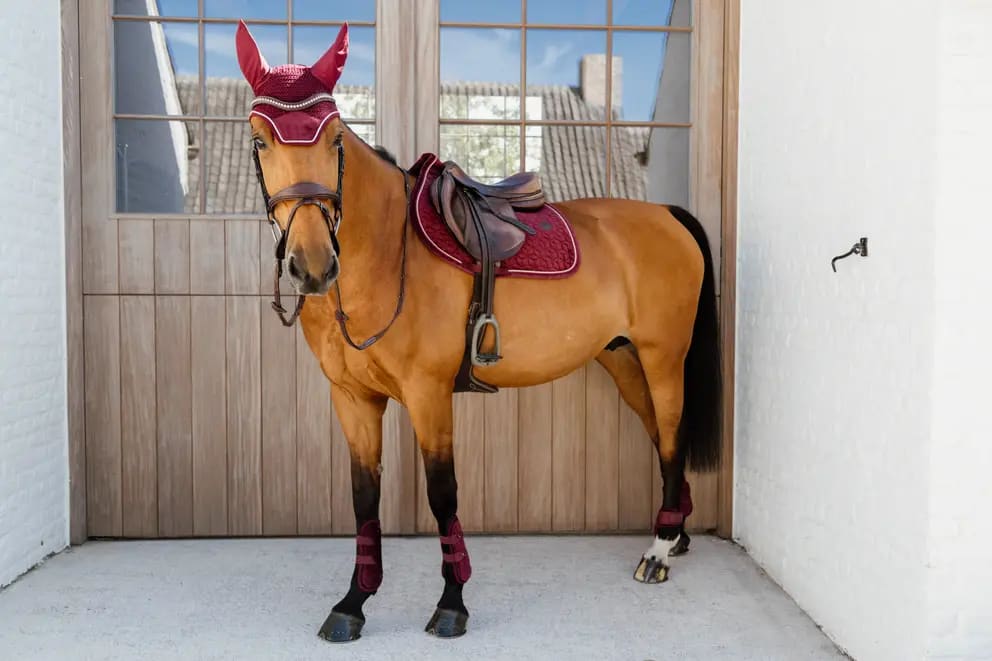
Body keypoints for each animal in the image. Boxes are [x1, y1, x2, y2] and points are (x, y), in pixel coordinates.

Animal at [234, 21, 722, 642]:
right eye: (260, 141)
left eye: (335, 139)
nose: (313, 265)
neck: (386, 255)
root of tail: (666, 213)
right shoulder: (352, 398)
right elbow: (364, 498)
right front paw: (352, 604)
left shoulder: (429, 394)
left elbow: (443, 495)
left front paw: (452, 604)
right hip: (623, 360)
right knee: (662, 437)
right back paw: (675, 535)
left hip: (663, 359)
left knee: (673, 436)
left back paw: (657, 551)